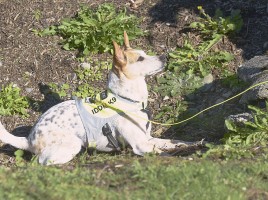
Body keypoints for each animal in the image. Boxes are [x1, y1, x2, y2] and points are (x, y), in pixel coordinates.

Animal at [0, 32, 193, 165]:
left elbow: (174, 142)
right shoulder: (142, 145)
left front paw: (191, 144)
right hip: (72, 144)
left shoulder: (149, 139)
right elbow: (164, 153)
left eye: (145, 53)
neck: (128, 100)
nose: (165, 56)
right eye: (140, 58)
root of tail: (29, 139)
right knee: (43, 162)